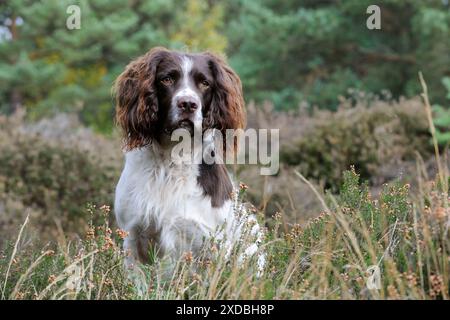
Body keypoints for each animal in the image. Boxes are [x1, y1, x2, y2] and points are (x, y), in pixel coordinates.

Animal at [114, 47, 266, 272]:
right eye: (167, 79)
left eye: (205, 83)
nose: (188, 104)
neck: (171, 162)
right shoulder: (134, 237)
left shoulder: (210, 243)